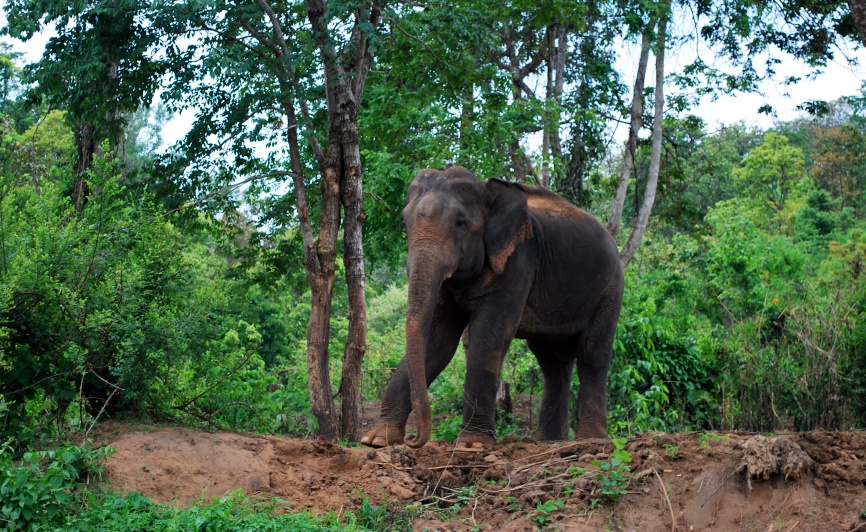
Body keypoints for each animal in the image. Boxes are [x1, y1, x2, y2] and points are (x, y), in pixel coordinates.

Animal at [360, 166, 624, 449]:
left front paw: (472, 444)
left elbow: (488, 335)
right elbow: (438, 341)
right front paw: (376, 440)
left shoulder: (519, 259)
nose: (412, 440)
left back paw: (591, 439)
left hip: (610, 289)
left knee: (591, 354)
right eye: (403, 222)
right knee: (552, 363)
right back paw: (547, 441)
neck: (488, 191)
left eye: (460, 222)